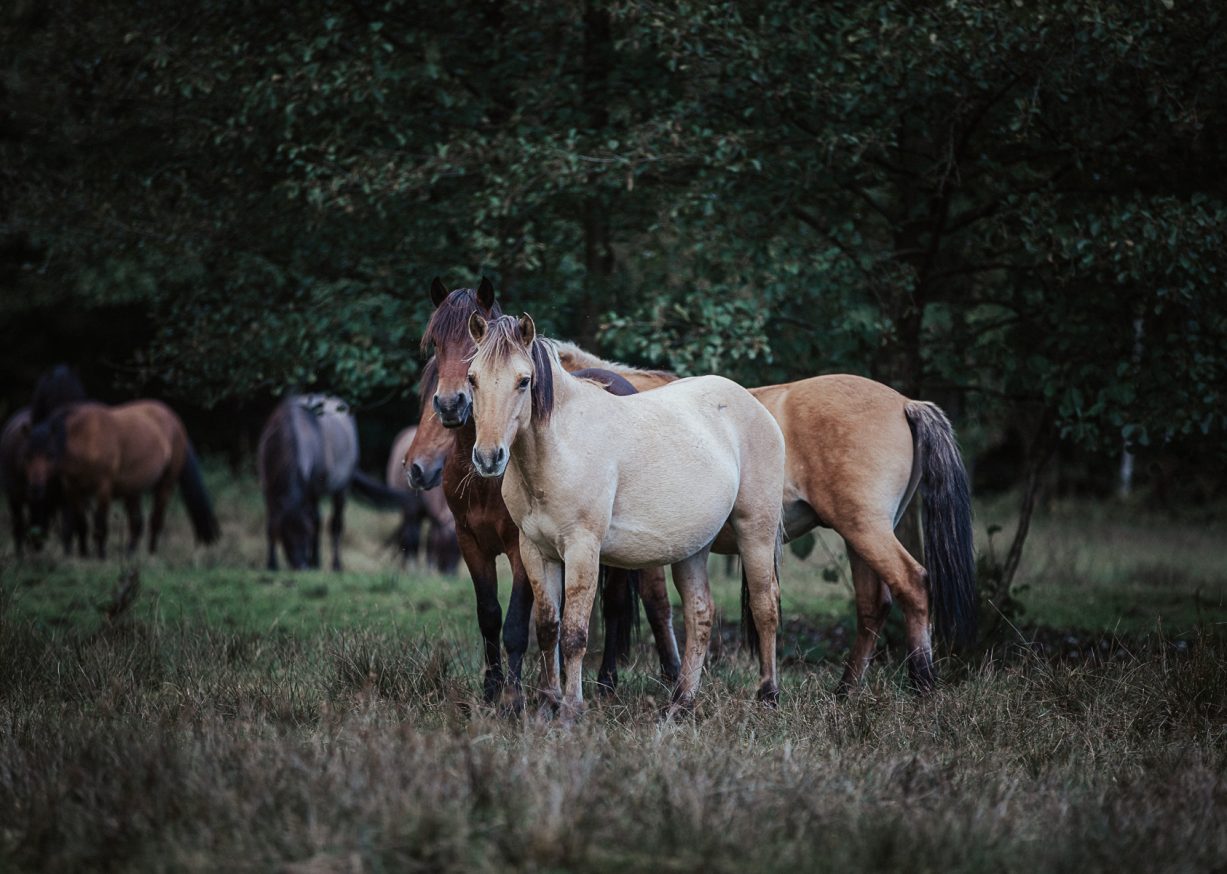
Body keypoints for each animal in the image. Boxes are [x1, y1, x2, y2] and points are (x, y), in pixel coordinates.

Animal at [23, 400, 220, 557]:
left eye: (50, 454)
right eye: (28, 455)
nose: (35, 488)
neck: (86, 440)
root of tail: (175, 421)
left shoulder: (103, 489)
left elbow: (100, 524)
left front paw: (101, 555)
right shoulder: (72, 490)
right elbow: (81, 524)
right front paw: (84, 553)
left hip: (165, 485)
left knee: (156, 520)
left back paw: (151, 553)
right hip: (132, 490)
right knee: (137, 522)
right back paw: (129, 552)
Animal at [407, 279, 687, 702]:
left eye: (471, 347)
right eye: (436, 343)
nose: (450, 405)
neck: (485, 481)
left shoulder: (521, 547)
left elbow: (516, 625)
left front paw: (513, 698)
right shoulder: (470, 542)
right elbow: (490, 616)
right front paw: (492, 689)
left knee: (627, 604)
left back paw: (615, 680)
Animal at [468, 310, 785, 721]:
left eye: (524, 380)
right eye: (472, 378)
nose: (489, 457)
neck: (559, 448)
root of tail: (753, 404)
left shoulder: (583, 549)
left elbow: (574, 634)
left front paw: (570, 711)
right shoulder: (535, 551)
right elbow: (549, 628)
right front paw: (547, 706)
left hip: (756, 532)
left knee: (765, 606)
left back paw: (768, 694)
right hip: (693, 548)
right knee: (700, 614)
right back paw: (680, 702)